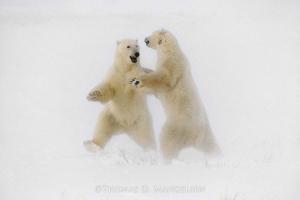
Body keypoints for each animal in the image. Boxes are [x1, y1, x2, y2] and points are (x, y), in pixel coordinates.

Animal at [130, 29, 219, 160]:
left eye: (152, 34)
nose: (145, 38)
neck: (169, 49)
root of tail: (197, 135)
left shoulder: (172, 63)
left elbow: (163, 78)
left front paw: (137, 80)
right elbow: (154, 89)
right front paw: (134, 78)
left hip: (176, 127)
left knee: (167, 141)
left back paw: (164, 158)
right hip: (204, 135)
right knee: (211, 146)